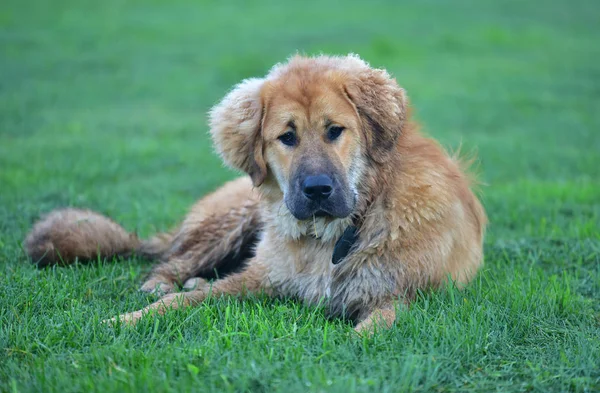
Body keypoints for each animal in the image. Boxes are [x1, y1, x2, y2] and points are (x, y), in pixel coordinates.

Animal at [24, 53, 488, 332]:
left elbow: (374, 330)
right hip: (231, 219)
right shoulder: (258, 277)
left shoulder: (399, 295)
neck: (334, 236)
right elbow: (185, 303)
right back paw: (166, 283)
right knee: (169, 261)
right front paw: (125, 319)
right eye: (287, 137)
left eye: (335, 130)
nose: (317, 189)